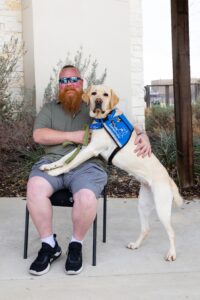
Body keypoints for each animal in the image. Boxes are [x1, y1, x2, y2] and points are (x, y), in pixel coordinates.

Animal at [40, 84, 183, 260]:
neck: (104, 119)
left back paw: (171, 253)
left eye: (106, 95)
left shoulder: (92, 149)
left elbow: (71, 163)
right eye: (94, 93)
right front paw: (50, 166)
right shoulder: (86, 145)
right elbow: (65, 158)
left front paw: (56, 172)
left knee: (172, 232)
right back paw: (136, 245)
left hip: (162, 207)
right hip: (143, 205)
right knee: (146, 229)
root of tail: (168, 179)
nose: (98, 101)